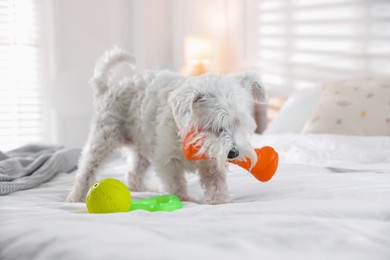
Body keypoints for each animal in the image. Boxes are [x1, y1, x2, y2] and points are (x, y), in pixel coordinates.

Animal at [67, 47, 266, 204]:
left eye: (238, 122)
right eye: (213, 126)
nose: (233, 153)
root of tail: (108, 88)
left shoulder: (211, 160)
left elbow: (215, 180)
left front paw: (219, 199)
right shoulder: (168, 160)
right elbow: (175, 182)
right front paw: (182, 199)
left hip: (142, 150)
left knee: (133, 175)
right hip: (103, 138)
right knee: (87, 167)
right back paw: (77, 196)